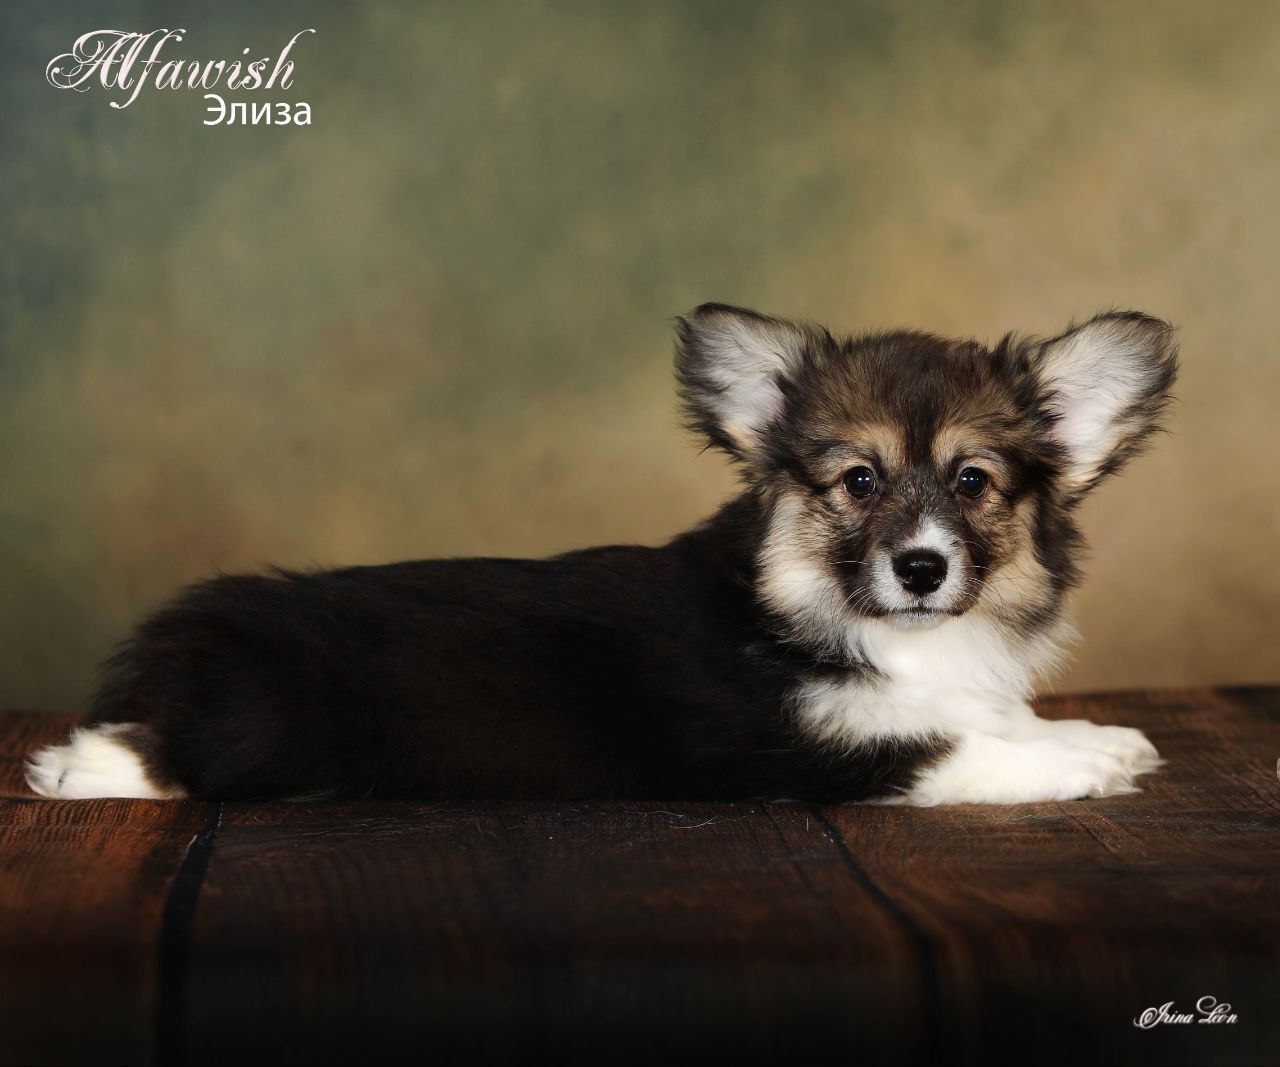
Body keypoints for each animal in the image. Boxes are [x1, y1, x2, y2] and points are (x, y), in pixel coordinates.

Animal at [26, 304, 1177, 805]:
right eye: (858, 481)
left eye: (972, 482)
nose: (923, 567)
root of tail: (183, 643)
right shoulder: (779, 746)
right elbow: (946, 748)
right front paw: (1076, 762)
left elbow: (988, 717)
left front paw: (1093, 732)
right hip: (281, 724)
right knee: (179, 755)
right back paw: (77, 763)